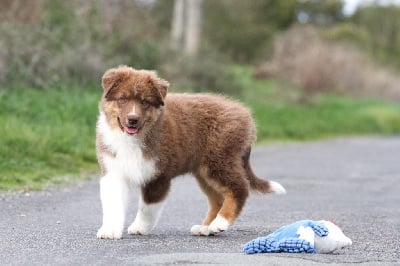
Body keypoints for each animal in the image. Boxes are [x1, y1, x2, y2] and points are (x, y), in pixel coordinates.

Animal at [95, 66, 286, 239]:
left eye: (144, 102)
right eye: (123, 99)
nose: (132, 120)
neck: (134, 138)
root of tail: (246, 115)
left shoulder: (159, 175)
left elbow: (148, 207)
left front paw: (139, 227)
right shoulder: (113, 171)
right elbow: (113, 204)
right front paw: (110, 230)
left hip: (220, 160)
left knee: (239, 188)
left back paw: (220, 222)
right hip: (204, 171)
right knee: (218, 199)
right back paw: (206, 228)